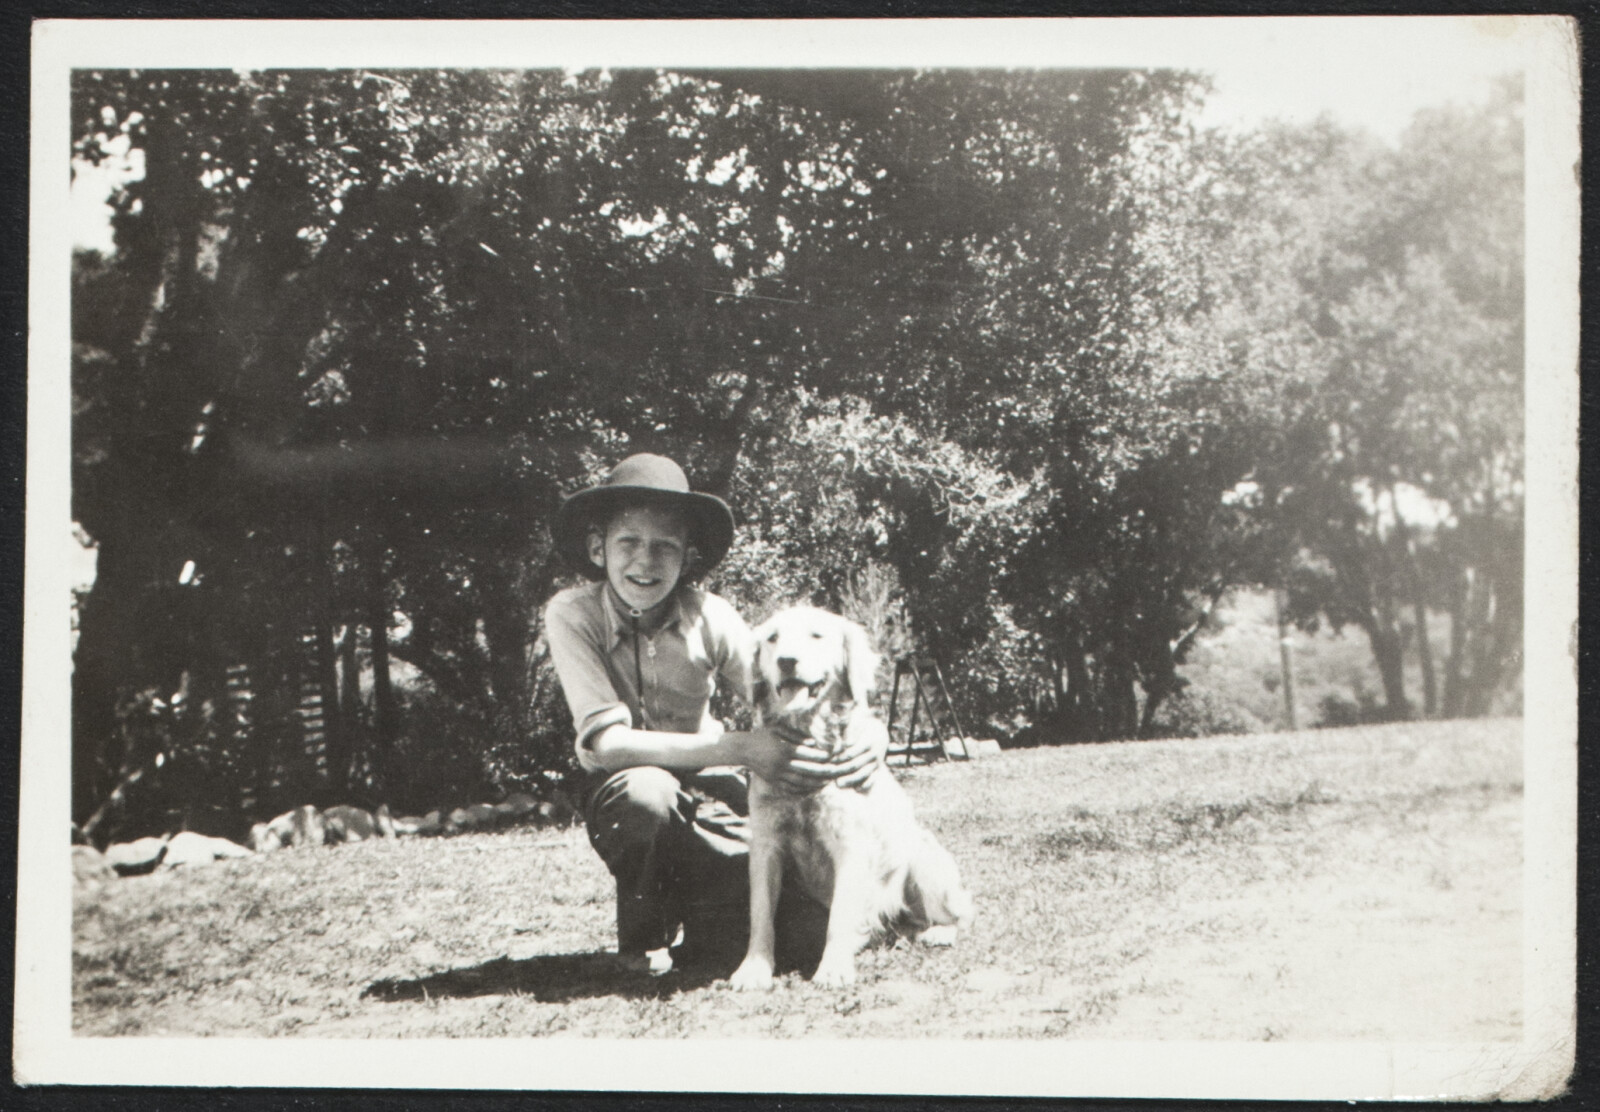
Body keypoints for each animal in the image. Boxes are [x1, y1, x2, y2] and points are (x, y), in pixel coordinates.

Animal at [729, 608, 972, 992]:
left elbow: (840, 917)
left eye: (816, 635)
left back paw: (939, 933)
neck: (808, 738)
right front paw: (754, 968)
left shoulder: (850, 844)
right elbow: (761, 912)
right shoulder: (766, 844)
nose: (786, 661)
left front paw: (833, 968)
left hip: (923, 858)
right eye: (772, 638)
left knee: (961, 913)